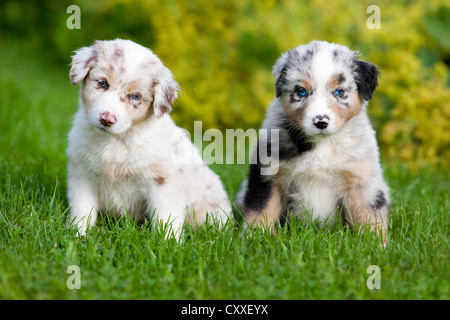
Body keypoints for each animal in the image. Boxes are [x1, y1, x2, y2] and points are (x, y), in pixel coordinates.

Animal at [68, 38, 230, 239]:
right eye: (103, 84)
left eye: (134, 96)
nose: (107, 119)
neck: (116, 141)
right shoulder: (82, 174)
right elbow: (82, 207)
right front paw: (77, 233)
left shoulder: (162, 181)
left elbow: (165, 216)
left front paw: (168, 242)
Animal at [239, 41, 390, 244]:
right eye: (301, 92)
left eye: (339, 92)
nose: (320, 121)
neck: (323, 144)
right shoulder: (268, 175)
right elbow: (260, 209)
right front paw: (253, 238)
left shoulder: (361, 179)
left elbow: (368, 215)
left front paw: (376, 244)